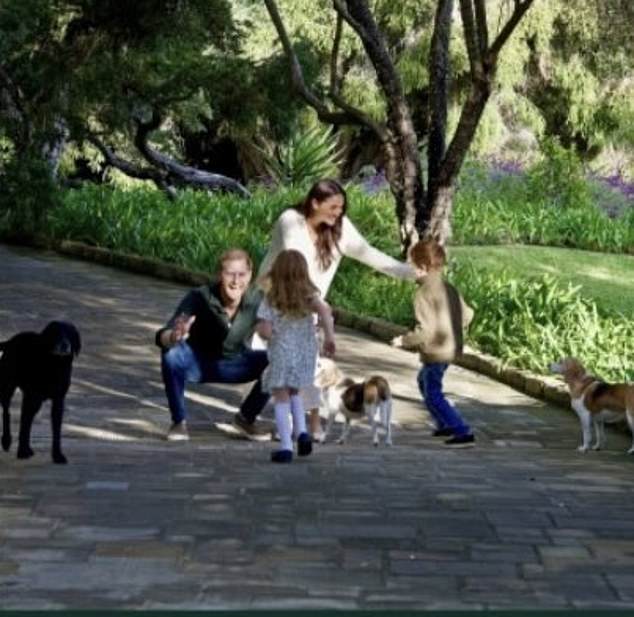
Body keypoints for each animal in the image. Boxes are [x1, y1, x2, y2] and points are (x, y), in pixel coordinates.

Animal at [0, 322, 80, 462]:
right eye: (56, 333)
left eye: (70, 334)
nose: (65, 344)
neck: (54, 364)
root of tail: (10, 341)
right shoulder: (30, 397)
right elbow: (24, 425)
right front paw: (21, 452)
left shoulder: (58, 400)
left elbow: (56, 429)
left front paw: (57, 455)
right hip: (8, 387)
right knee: (6, 411)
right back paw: (6, 440)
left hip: (35, 402)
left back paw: (27, 448)